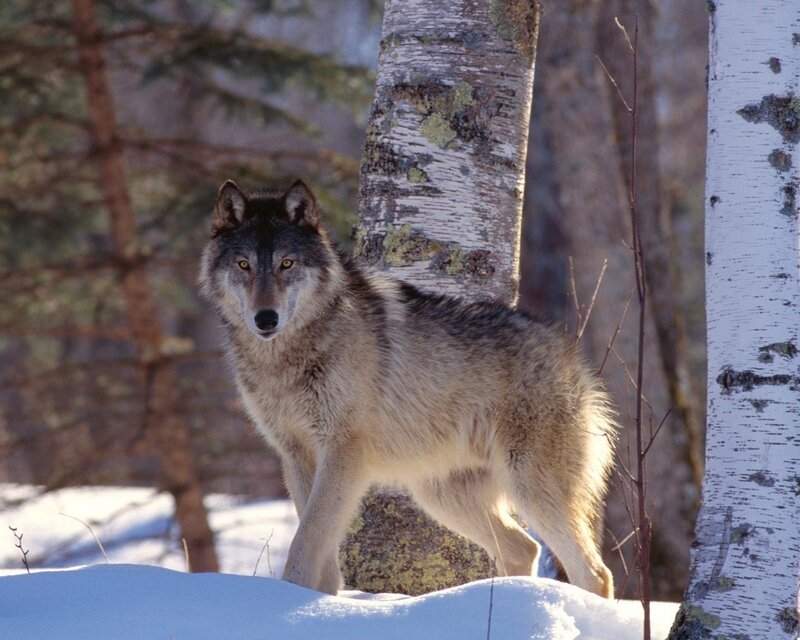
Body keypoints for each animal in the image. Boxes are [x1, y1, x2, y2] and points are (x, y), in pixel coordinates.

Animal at [200, 179, 617, 598]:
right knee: (525, 548)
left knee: (595, 573)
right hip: (442, 497)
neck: (286, 360)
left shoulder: (343, 453)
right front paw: (321, 601)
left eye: (287, 264)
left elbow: (306, 541)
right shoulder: (297, 456)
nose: (265, 319)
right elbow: (320, 548)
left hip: (530, 489)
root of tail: (573, 356)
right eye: (244, 265)